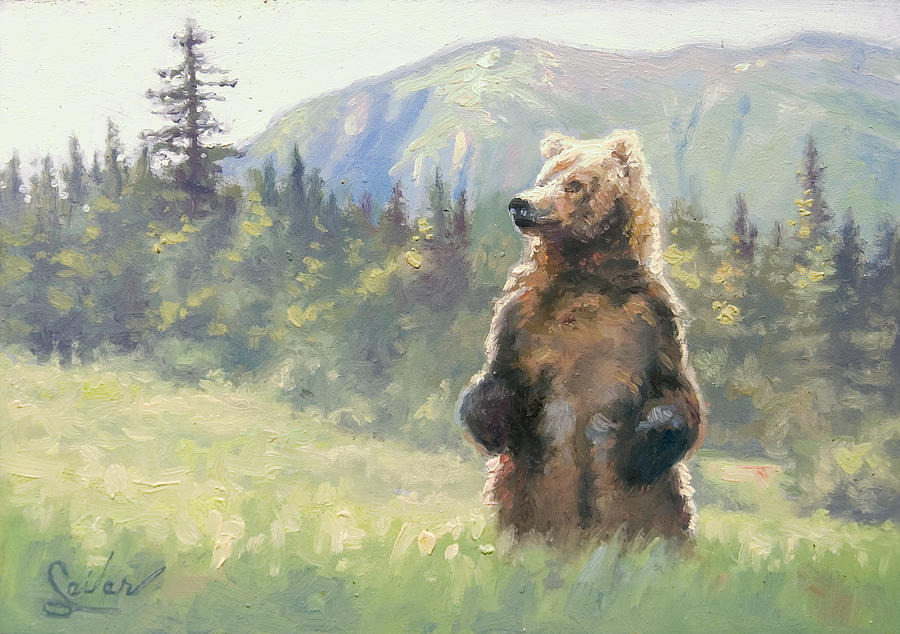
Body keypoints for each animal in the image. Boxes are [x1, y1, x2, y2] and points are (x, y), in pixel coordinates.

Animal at [457, 130, 705, 543]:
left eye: (574, 184)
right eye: (545, 178)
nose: (520, 203)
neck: (583, 275)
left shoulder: (652, 321)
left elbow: (674, 390)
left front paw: (643, 445)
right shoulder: (520, 319)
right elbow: (498, 379)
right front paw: (501, 411)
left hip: (659, 506)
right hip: (528, 499)